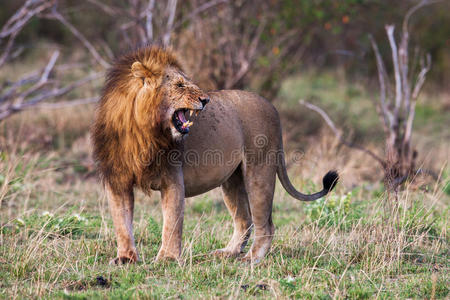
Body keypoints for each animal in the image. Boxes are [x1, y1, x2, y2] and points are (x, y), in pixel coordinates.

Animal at [91, 45, 338, 264]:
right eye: (179, 85)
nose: (205, 100)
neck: (141, 131)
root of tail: (271, 106)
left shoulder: (172, 179)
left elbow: (172, 222)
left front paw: (167, 259)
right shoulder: (117, 181)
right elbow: (122, 222)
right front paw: (126, 258)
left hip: (259, 170)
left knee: (265, 224)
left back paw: (251, 259)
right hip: (232, 180)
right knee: (244, 220)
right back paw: (228, 252)